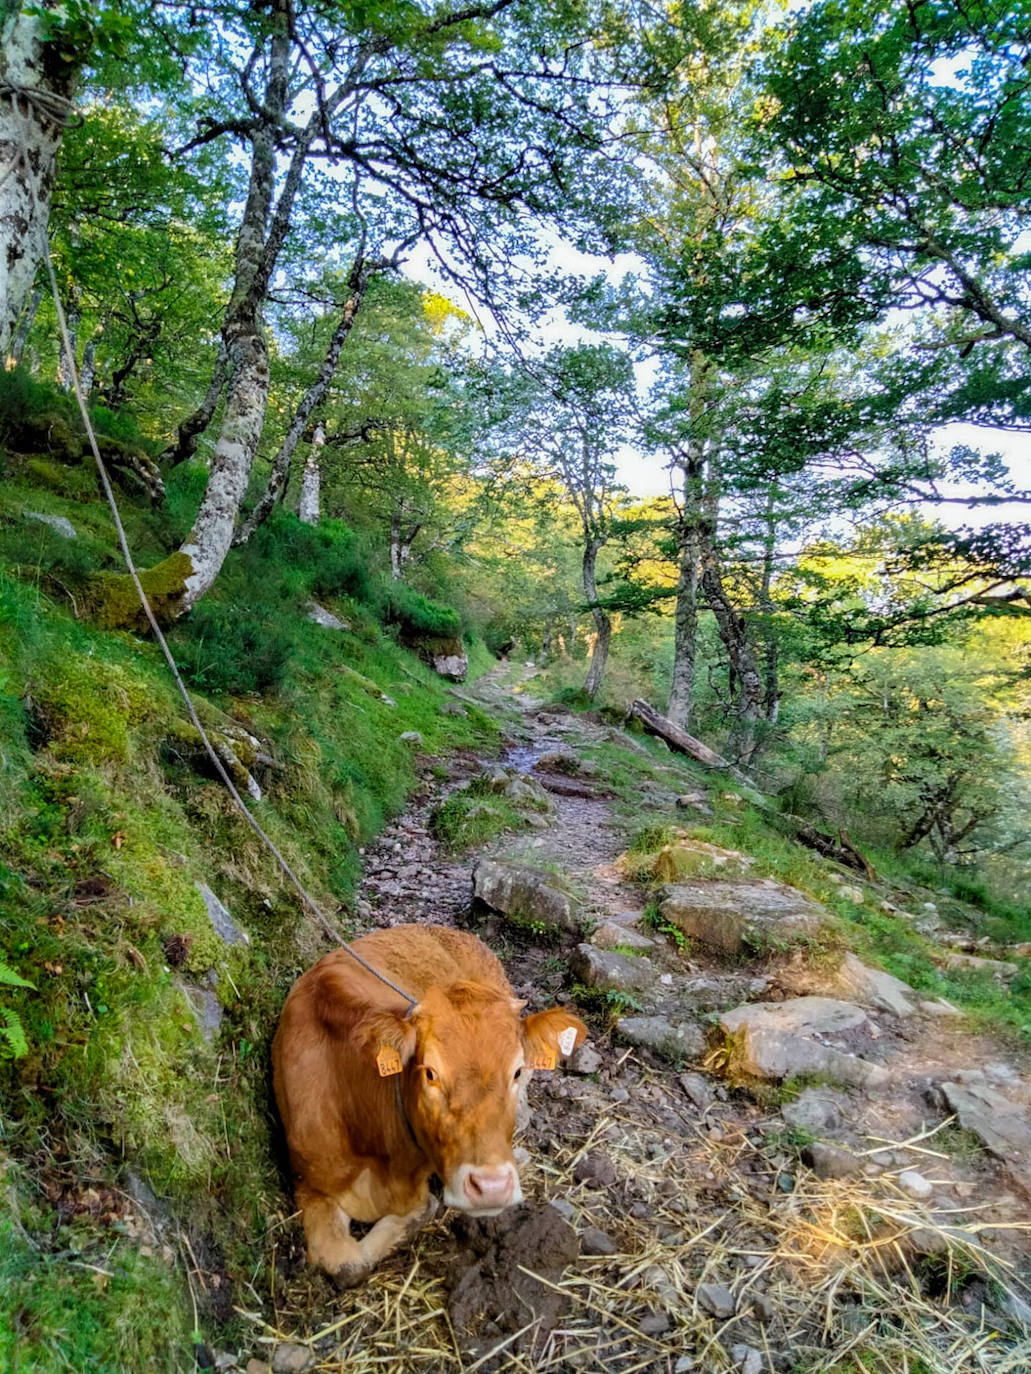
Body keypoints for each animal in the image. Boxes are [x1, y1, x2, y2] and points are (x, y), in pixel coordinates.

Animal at [270, 923, 588, 1286]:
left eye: (517, 1070)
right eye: (431, 1073)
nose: (491, 1188)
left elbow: (419, 1209)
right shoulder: (307, 1182)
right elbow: (348, 1265)